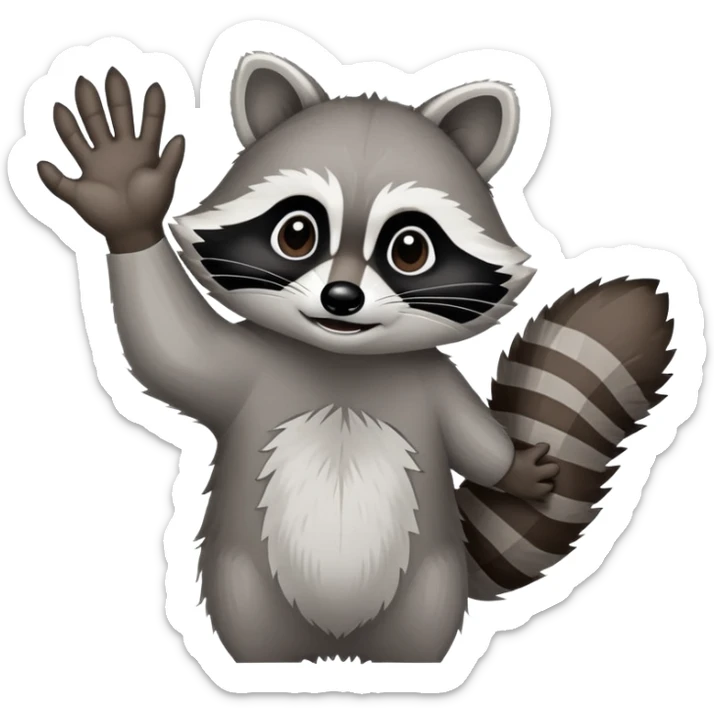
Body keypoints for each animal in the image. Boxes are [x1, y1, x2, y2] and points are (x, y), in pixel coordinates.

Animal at [37, 55, 674, 663]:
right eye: (297, 233)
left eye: (409, 248)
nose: (341, 299)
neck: (345, 362)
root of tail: (339, 649)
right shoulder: (251, 363)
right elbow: (171, 349)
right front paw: (126, 202)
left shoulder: (434, 377)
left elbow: (474, 440)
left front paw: (512, 468)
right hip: (243, 578)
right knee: (250, 620)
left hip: (430, 581)